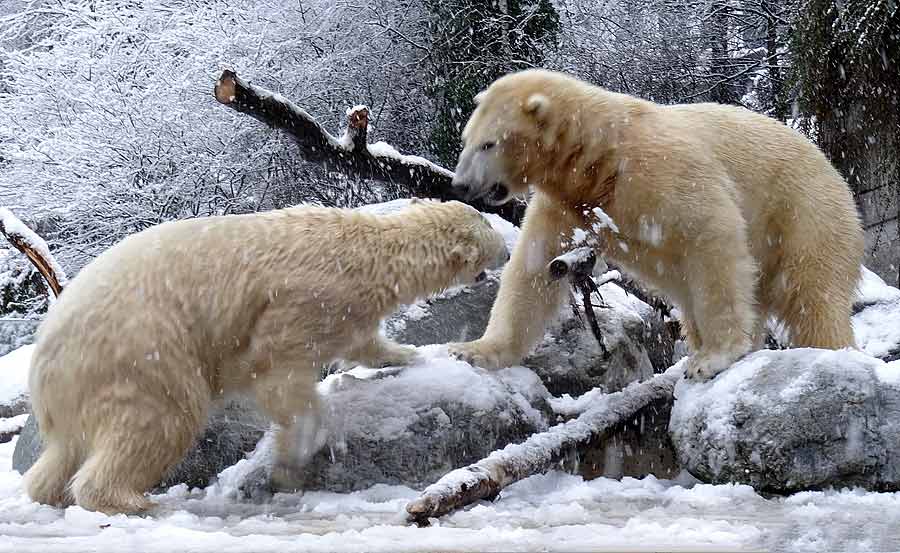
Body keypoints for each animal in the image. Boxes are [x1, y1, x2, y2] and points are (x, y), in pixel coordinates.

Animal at [24, 199, 510, 512]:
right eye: (489, 224)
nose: (509, 249)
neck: (367, 250)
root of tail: (43, 363)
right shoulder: (307, 300)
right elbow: (279, 369)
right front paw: (303, 446)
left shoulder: (350, 308)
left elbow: (361, 341)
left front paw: (409, 353)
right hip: (140, 352)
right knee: (161, 418)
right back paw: (131, 501)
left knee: (66, 449)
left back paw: (50, 492)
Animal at [450, 68, 864, 380]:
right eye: (466, 139)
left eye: (489, 144)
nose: (461, 184)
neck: (598, 157)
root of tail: (834, 173)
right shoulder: (566, 205)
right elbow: (533, 271)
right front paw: (472, 350)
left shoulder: (661, 170)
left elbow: (711, 236)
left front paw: (712, 358)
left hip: (804, 212)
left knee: (811, 294)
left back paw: (830, 348)